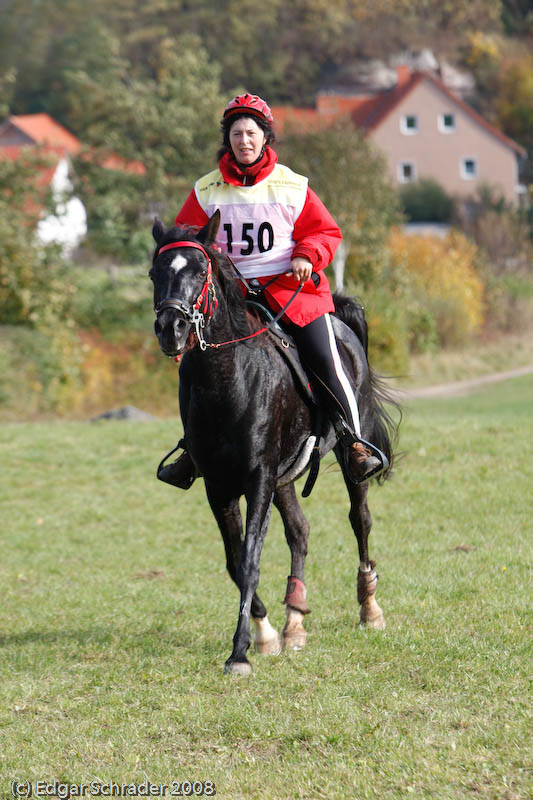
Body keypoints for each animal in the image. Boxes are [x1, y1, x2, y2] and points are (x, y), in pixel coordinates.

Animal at [150, 212, 400, 676]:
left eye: (199, 271)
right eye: (154, 273)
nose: (170, 329)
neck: (227, 377)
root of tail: (340, 318)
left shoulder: (258, 478)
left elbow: (249, 560)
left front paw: (240, 652)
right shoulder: (220, 487)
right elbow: (235, 562)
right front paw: (266, 634)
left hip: (340, 459)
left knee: (360, 520)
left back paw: (369, 607)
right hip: (285, 478)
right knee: (299, 532)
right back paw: (294, 620)